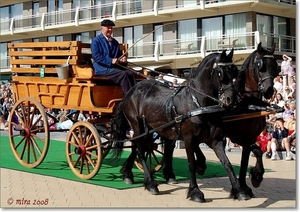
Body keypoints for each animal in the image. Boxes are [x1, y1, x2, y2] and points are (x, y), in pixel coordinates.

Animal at [110, 49, 239, 202]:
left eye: (234, 71)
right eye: (220, 73)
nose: (232, 99)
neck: (197, 102)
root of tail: (131, 91)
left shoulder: (214, 139)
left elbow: (226, 163)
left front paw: (238, 190)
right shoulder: (188, 138)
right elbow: (191, 164)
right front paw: (195, 191)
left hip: (149, 129)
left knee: (139, 147)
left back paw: (128, 174)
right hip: (137, 126)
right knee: (140, 151)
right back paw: (150, 183)